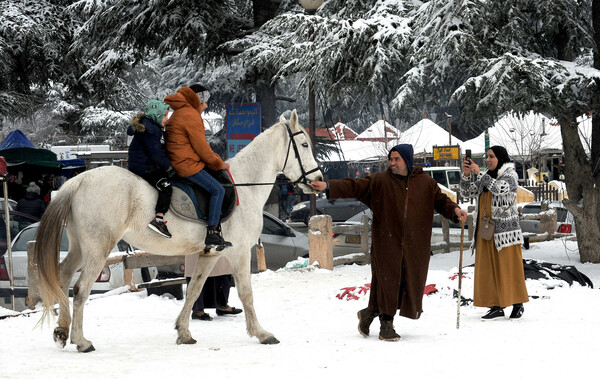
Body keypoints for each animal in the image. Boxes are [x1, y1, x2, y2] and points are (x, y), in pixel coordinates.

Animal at [34, 109, 324, 354]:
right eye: (305, 145)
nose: (319, 180)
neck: (244, 185)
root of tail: (80, 179)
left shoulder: (210, 254)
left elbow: (195, 288)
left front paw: (183, 332)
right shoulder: (240, 252)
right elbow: (246, 293)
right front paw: (261, 334)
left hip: (80, 247)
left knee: (63, 276)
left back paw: (61, 331)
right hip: (98, 247)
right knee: (80, 289)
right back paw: (81, 341)